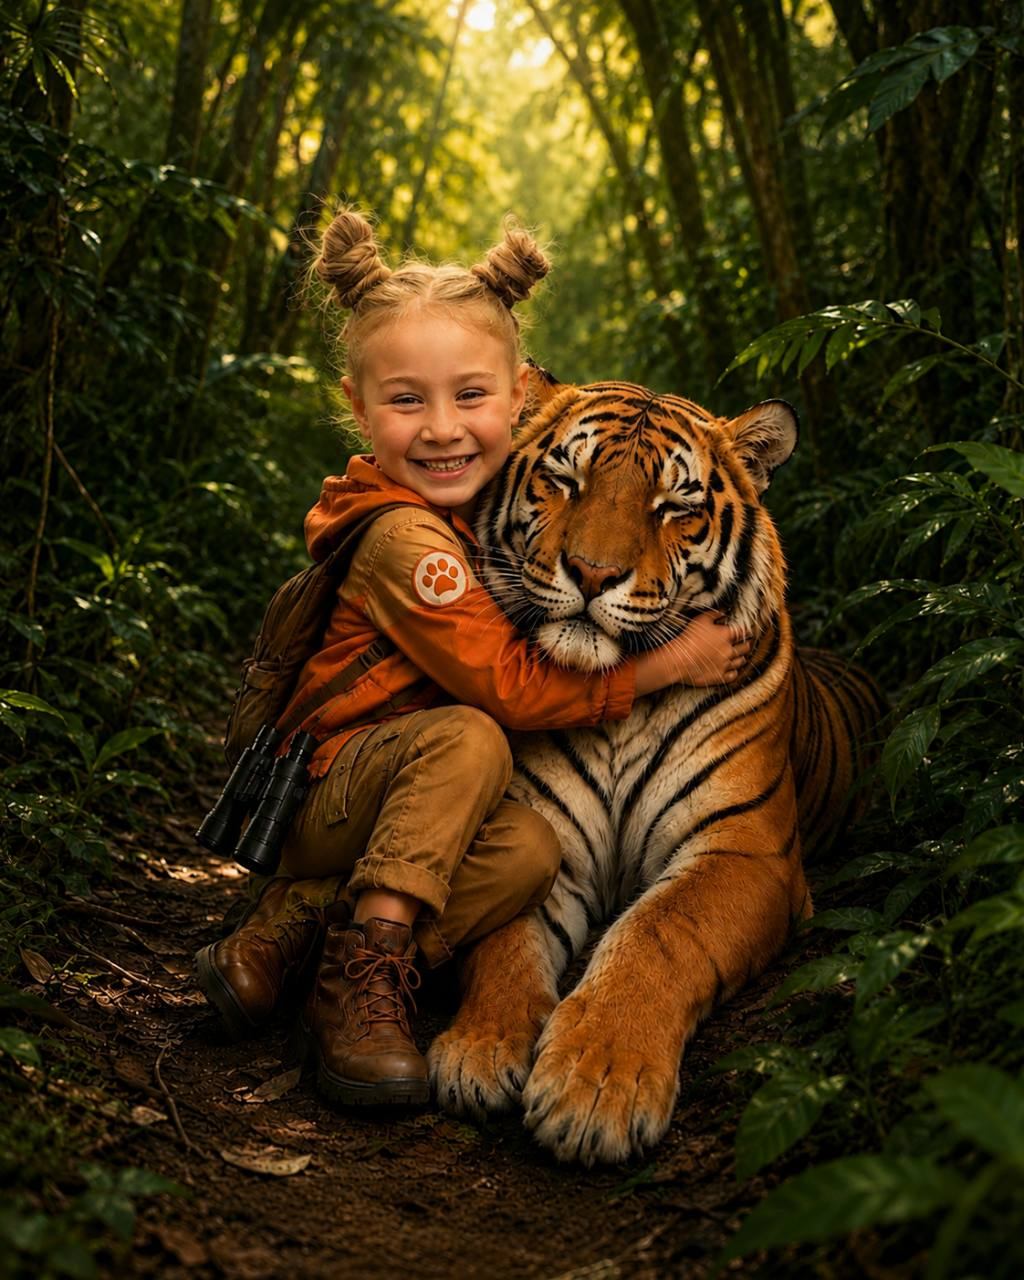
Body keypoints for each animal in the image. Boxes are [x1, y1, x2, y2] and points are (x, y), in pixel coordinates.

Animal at [427, 368, 884, 1166]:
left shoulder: (745, 853)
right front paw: (479, 1049)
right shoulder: (543, 831)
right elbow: (505, 942)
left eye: (674, 506)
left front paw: (595, 1088)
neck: (619, 706)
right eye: (565, 478)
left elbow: (658, 933)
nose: (592, 573)